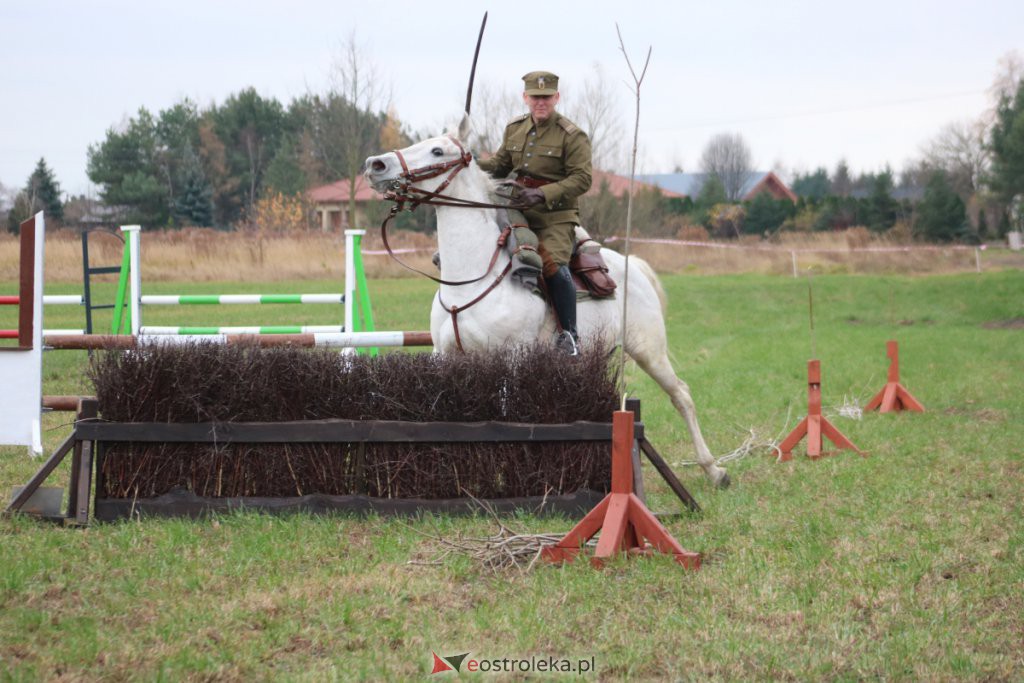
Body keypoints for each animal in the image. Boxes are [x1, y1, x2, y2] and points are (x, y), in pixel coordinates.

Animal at [364, 127, 733, 489]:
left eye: (437, 151)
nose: (375, 164)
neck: (471, 277)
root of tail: (631, 264)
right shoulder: (445, 356)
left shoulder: (512, 359)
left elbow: (504, 414)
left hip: (649, 351)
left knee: (681, 395)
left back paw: (714, 471)